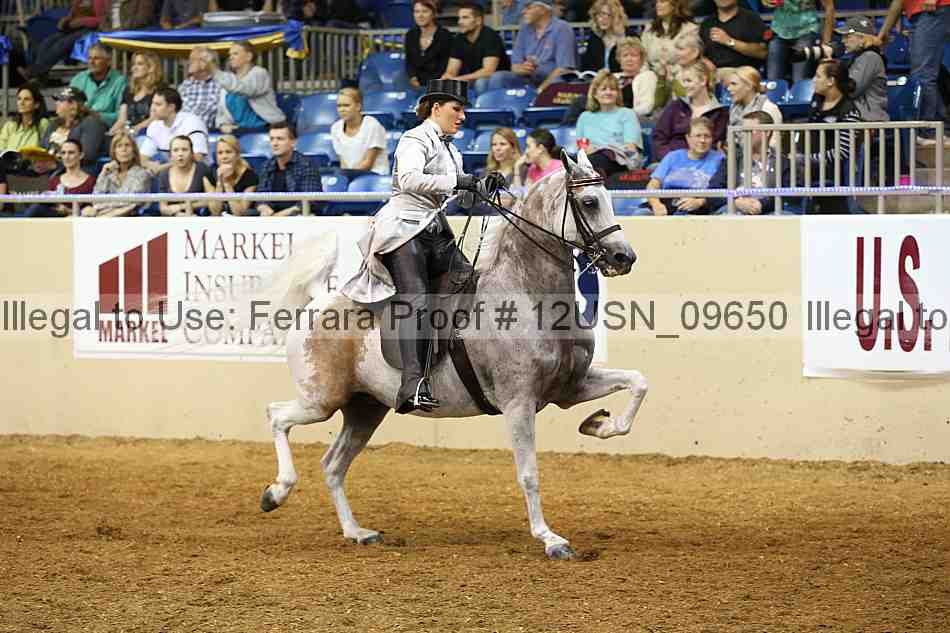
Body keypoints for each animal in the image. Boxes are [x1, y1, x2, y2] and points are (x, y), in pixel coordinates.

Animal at [259, 150, 648, 560]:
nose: (624, 257)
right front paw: (550, 538)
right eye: (589, 202)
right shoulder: (519, 402)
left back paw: (356, 532)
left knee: (332, 465)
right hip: (322, 400)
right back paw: (276, 492)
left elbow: (638, 383)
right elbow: (528, 473)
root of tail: (319, 302)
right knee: (277, 416)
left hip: (365, 408)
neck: (528, 295)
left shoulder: (571, 388)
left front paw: (599, 424)